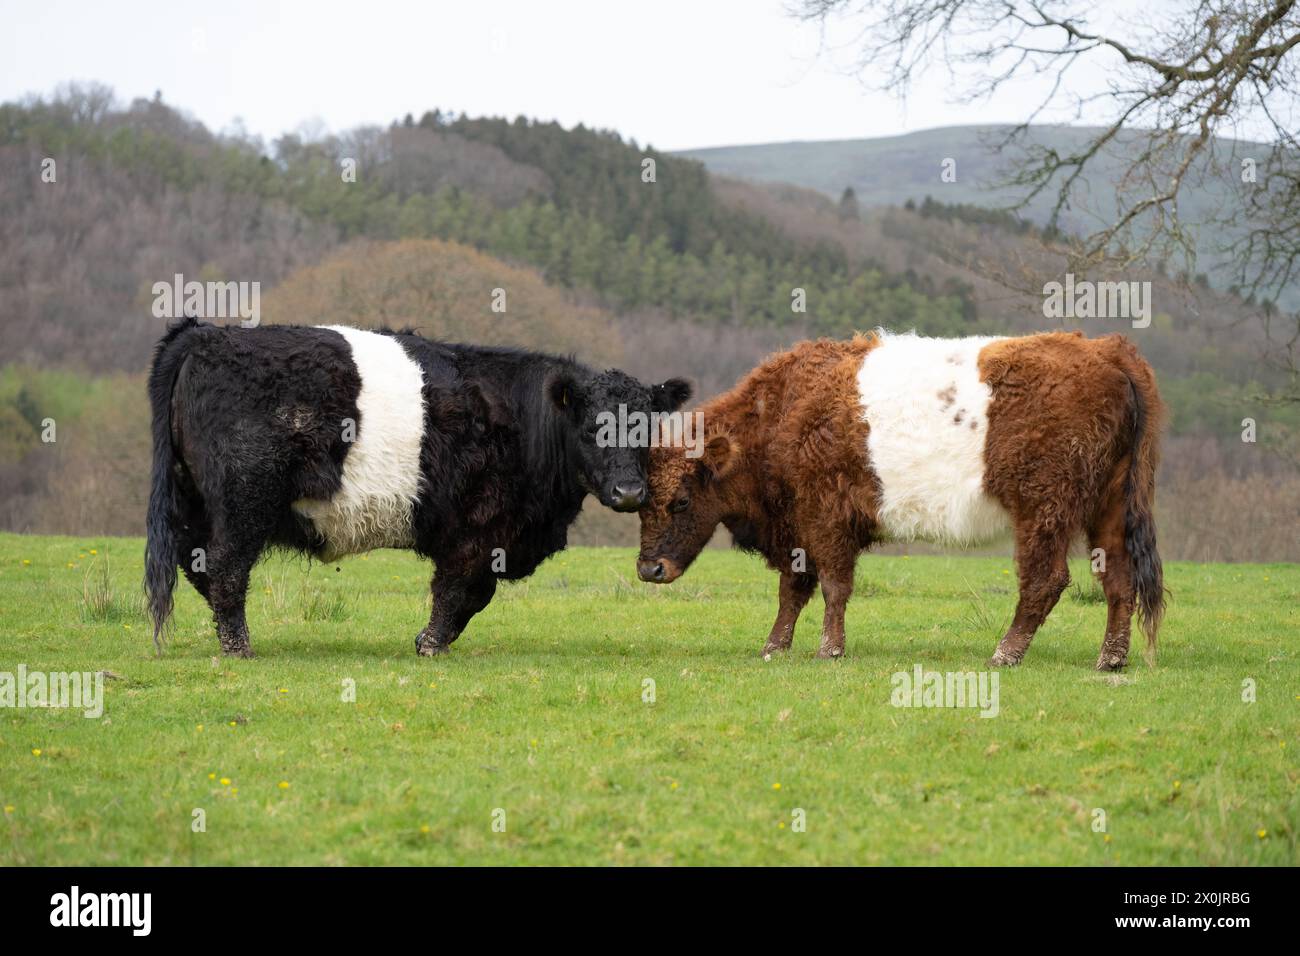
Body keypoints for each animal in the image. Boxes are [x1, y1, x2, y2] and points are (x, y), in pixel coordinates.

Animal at [144, 318, 691, 657]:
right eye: (593, 427)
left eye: (647, 426)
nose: (629, 492)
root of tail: (205, 334)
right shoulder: (478, 529)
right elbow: (458, 589)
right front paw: (430, 643)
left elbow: (474, 595)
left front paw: (427, 641)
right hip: (243, 500)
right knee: (227, 568)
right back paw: (240, 648)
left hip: (191, 498)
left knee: (199, 563)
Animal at [636, 330, 1165, 670]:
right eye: (640, 502)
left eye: (680, 501)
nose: (648, 569)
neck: (784, 413)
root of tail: (1107, 350)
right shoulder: (797, 528)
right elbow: (793, 589)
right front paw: (774, 647)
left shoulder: (825, 516)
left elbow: (832, 586)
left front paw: (829, 649)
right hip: (1109, 506)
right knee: (1118, 579)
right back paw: (1110, 659)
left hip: (1043, 508)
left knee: (1045, 581)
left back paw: (1005, 653)